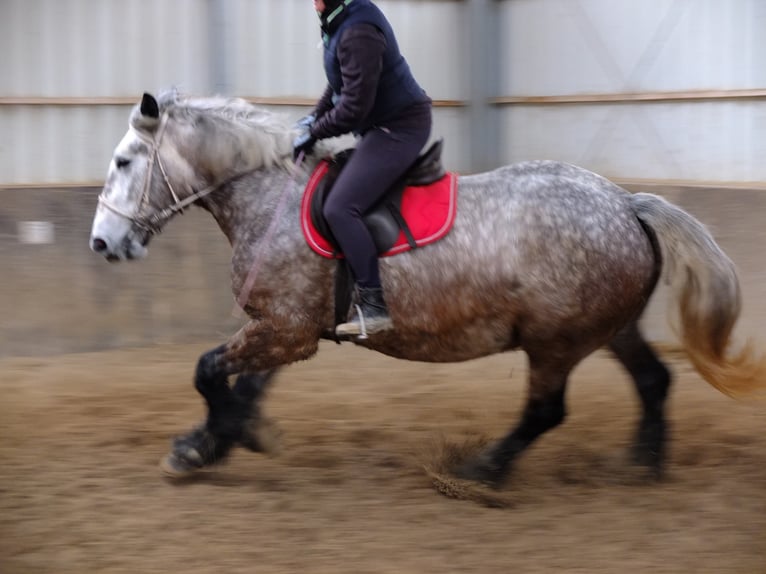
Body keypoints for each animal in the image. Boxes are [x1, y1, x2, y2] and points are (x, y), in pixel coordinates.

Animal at [91, 92, 766, 488]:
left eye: (124, 162)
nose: (102, 243)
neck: (268, 197)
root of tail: (626, 204)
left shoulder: (283, 329)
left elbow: (209, 372)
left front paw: (213, 442)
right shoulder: (287, 327)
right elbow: (242, 385)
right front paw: (212, 443)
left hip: (555, 340)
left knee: (546, 410)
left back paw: (481, 470)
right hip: (608, 328)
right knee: (653, 381)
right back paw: (644, 465)